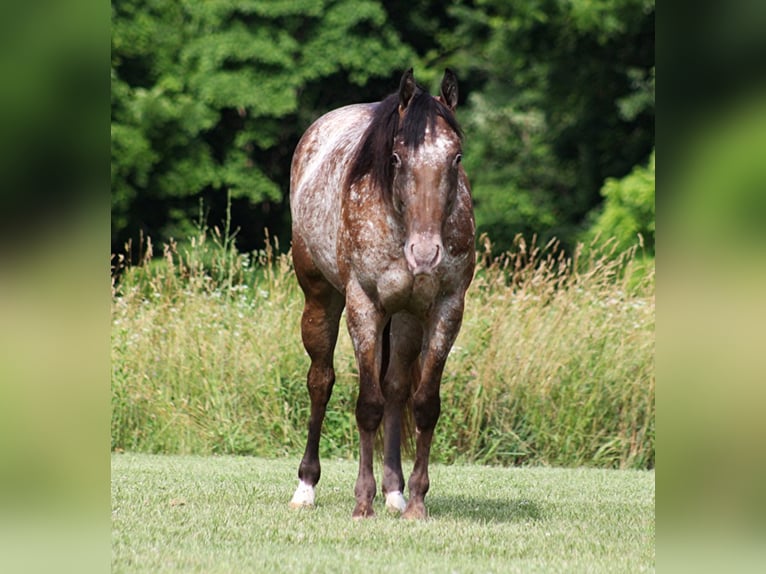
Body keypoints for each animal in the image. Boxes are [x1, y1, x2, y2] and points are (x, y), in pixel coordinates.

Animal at [290, 68, 474, 520]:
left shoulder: (446, 309)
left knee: (395, 388)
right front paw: (362, 502)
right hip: (320, 300)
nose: (424, 253)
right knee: (321, 381)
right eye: (396, 158)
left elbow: (424, 404)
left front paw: (417, 502)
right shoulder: (364, 306)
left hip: (406, 318)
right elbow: (367, 405)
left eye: (456, 158)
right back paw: (305, 487)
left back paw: (394, 491)